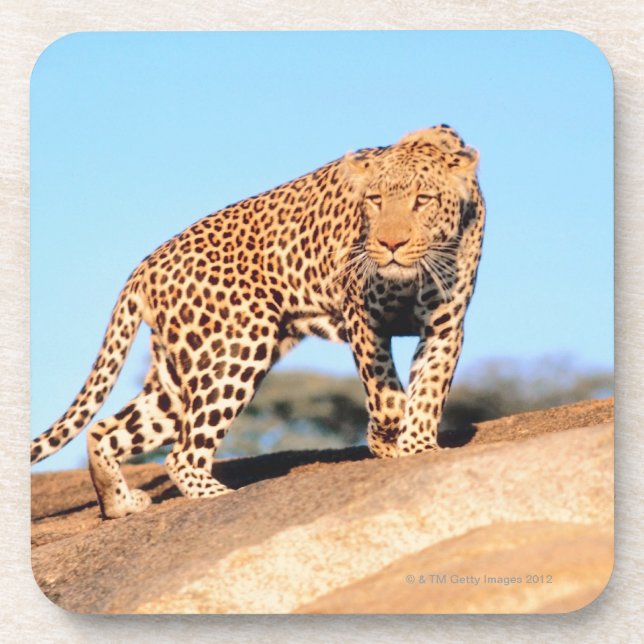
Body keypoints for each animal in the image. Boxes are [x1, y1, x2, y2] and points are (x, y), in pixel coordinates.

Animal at [31, 125, 485, 519]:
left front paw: (419, 446)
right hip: (238, 347)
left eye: (423, 200)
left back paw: (120, 504)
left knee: (104, 431)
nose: (390, 243)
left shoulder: (445, 325)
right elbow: (386, 393)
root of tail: (145, 266)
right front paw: (387, 437)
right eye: (373, 199)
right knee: (182, 454)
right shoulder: (363, 316)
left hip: (177, 377)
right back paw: (218, 495)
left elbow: (430, 389)